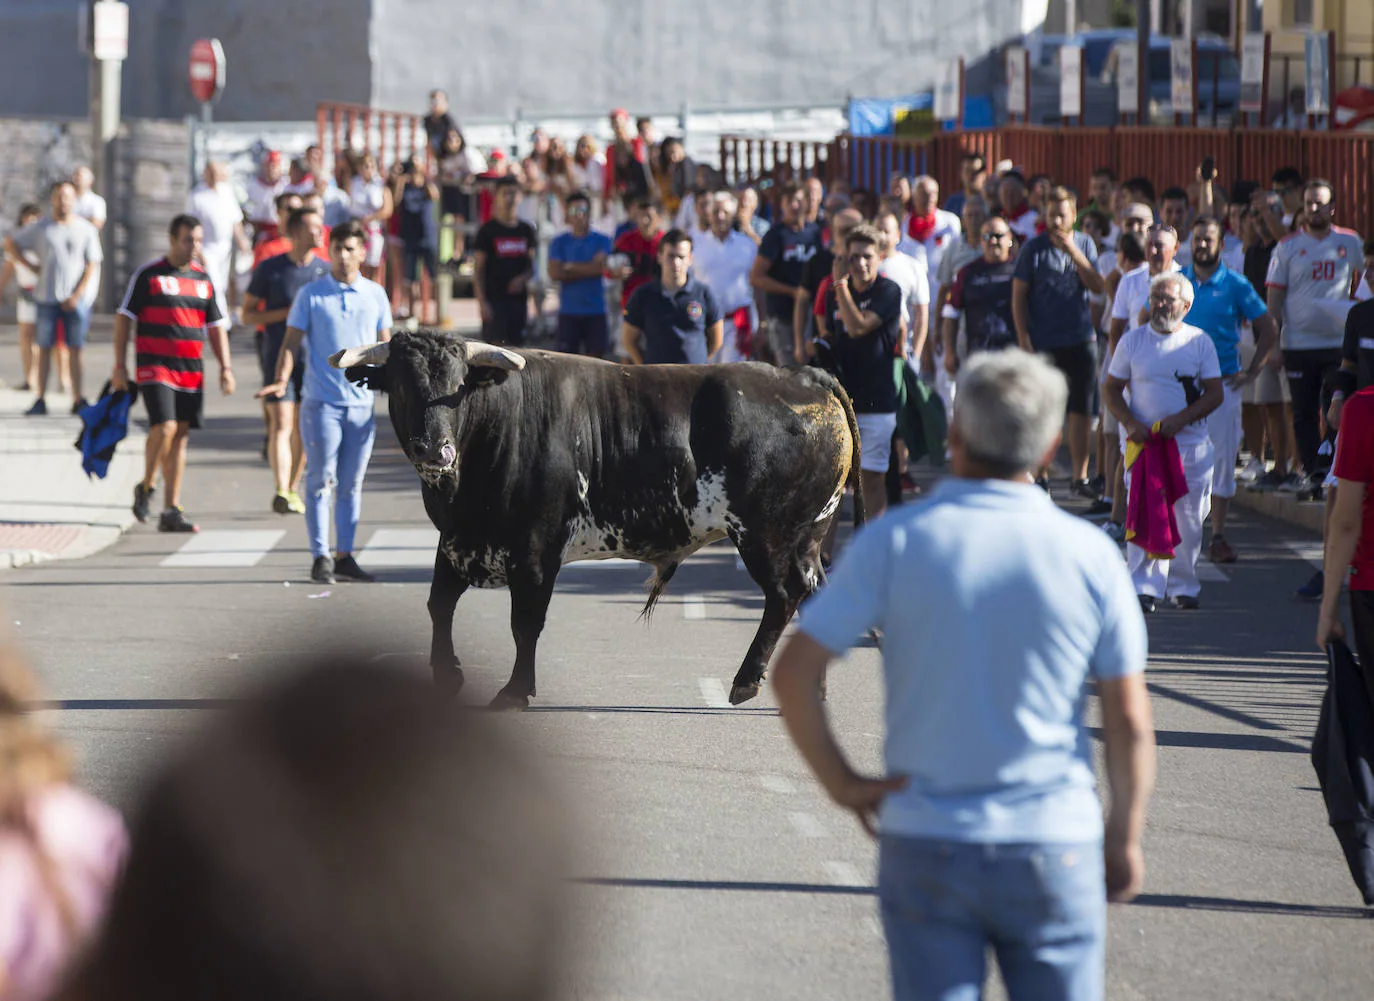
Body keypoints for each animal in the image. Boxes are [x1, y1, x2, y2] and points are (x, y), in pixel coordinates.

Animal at [332, 332, 862, 708]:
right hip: (808, 537)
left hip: (766, 536)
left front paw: (515, 690)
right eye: (402, 387)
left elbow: (525, 623)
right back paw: (812, 689)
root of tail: (803, 376)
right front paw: (447, 674)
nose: (435, 451)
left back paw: (746, 681)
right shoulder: (455, 543)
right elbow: (438, 606)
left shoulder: (535, 552)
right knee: (815, 594)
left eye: (457, 389)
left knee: (784, 595)